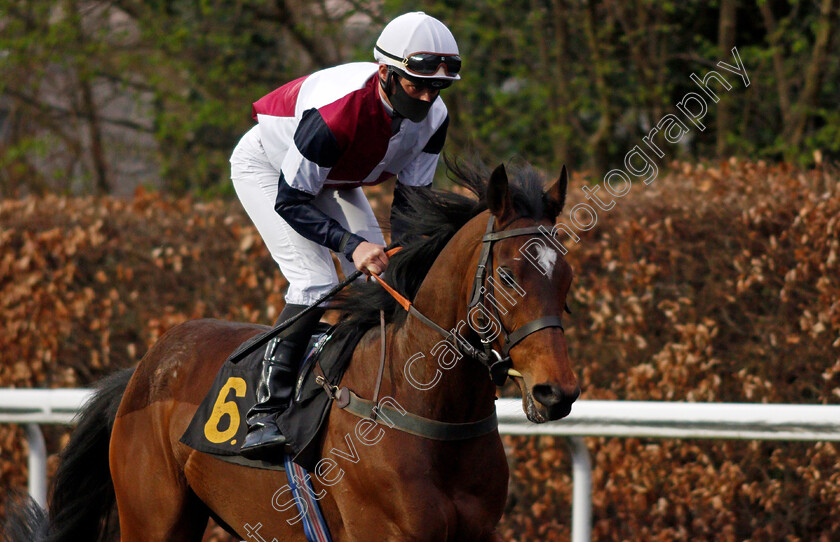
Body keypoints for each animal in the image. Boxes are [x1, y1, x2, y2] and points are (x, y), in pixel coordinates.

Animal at [8, 159, 576, 540]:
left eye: (567, 277)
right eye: (507, 276)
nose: (557, 392)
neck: (428, 412)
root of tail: (146, 369)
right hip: (153, 516)